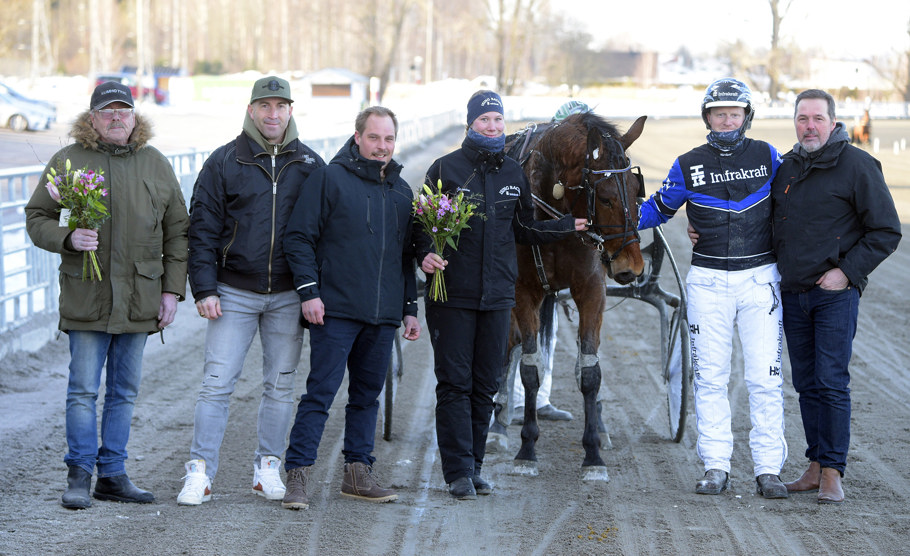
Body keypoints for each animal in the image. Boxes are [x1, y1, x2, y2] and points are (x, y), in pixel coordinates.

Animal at [490, 111, 647, 480]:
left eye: (638, 192)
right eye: (604, 197)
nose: (631, 266)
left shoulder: (591, 289)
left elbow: (589, 370)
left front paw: (593, 454)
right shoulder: (523, 292)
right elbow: (530, 368)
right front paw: (527, 450)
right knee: (508, 346)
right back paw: (498, 425)